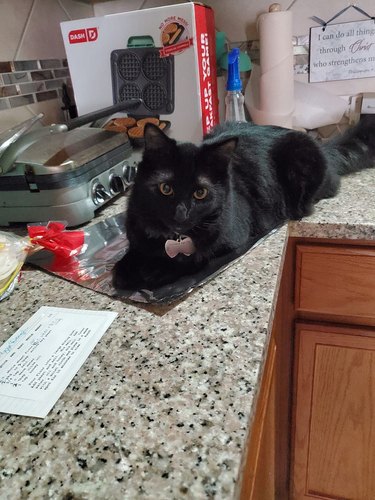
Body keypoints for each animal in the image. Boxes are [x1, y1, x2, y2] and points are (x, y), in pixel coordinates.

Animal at [114, 115, 375, 292]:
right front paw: (127, 269)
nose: (181, 214)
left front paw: (154, 272)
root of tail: (323, 147)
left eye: (200, 193)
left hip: (302, 161)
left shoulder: (230, 243)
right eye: (166, 189)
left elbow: (192, 260)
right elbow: (127, 259)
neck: (173, 240)